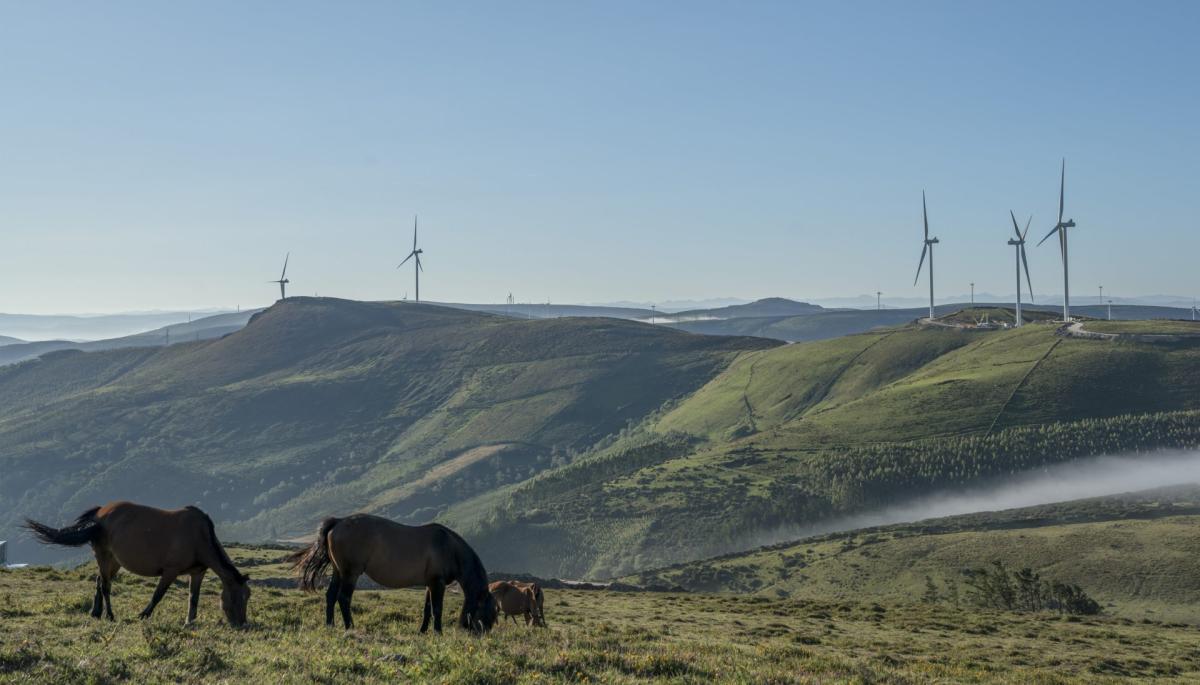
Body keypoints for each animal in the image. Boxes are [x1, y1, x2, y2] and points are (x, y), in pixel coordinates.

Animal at [24, 499, 250, 628]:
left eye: (247, 597)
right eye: (237, 596)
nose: (242, 624)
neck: (200, 536)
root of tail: (99, 514)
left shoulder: (197, 572)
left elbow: (193, 598)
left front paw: (190, 621)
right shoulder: (170, 571)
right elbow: (158, 595)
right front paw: (143, 615)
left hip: (114, 561)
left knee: (99, 581)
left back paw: (95, 613)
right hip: (104, 556)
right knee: (105, 586)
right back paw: (110, 615)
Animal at [290, 518, 496, 633]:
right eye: (490, 612)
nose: (482, 635)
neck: (449, 547)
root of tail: (338, 522)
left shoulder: (430, 584)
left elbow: (427, 609)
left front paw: (422, 631)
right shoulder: (438, 583)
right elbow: (437, 609)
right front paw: (438, 632)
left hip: (338, 572)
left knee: (331, 596)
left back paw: (330, 625)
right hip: (350, 573)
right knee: (343, 598)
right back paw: (350, 627)